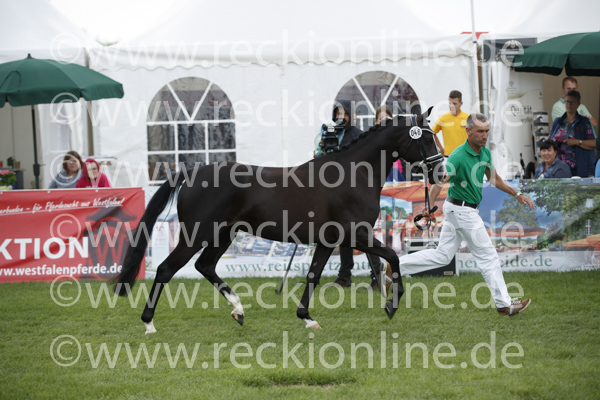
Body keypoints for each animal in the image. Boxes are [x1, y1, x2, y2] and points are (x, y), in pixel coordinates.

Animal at [115, 110, 442, 334]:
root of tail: (192, 172)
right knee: (166, 269)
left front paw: (307, 318)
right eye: (426, 137)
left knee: (204, 266)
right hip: (197, 235)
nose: (440, 172)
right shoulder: (356, 235)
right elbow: (392, 258)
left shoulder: (329, 240)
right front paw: (390, 305)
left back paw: (238, 310)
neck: (353, 174)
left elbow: (313, 275)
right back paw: (149, 324)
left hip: (223, 235)